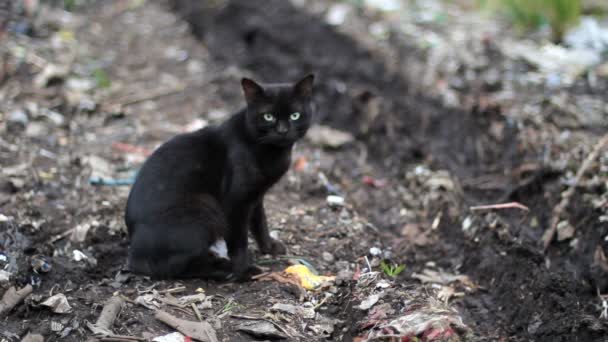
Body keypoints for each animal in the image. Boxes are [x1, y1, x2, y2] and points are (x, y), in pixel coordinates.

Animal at [123, 73, 314, 280]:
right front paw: (243, 271)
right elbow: (239, 241)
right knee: (174, 268)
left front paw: (269, 247)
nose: (282, 131)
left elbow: (260, 223)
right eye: (268, 117)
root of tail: (134, 253)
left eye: (295, 115)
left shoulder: (256, 196)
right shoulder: (236, 202)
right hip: (206, 208)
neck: (270, 150)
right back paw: (222, 269)